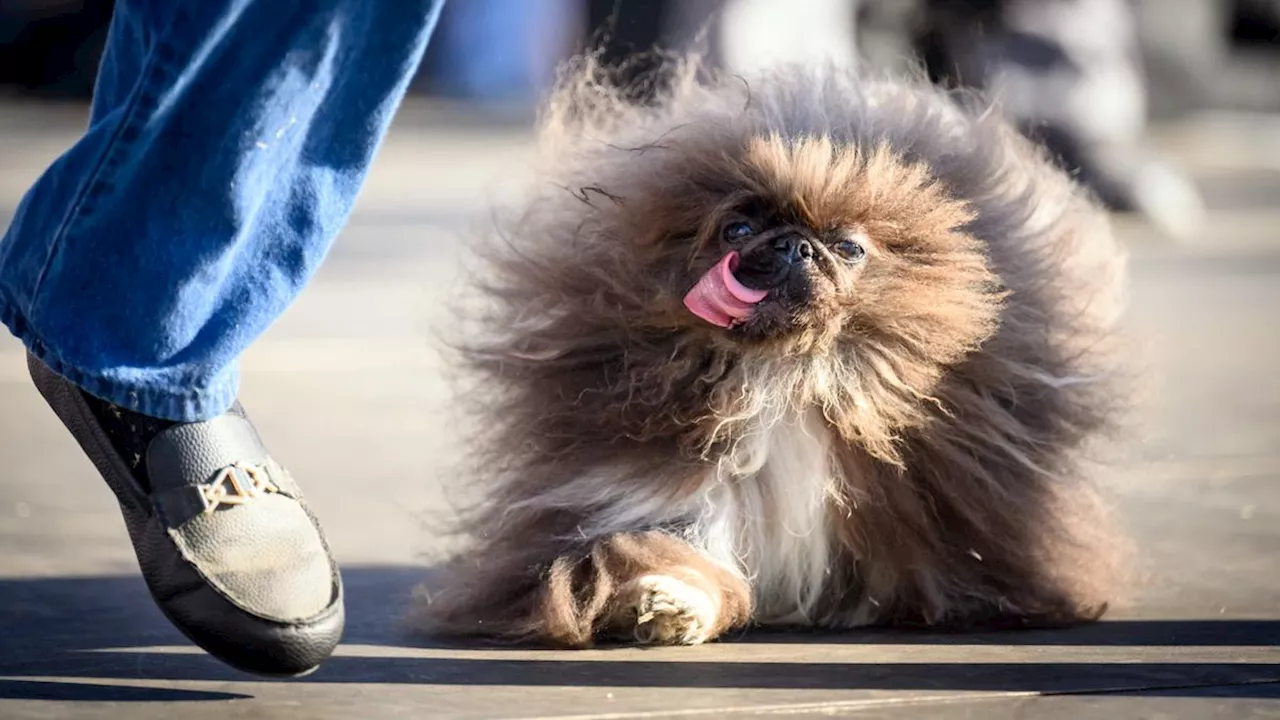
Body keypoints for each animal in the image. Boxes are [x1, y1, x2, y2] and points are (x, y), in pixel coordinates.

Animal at [419, 57, 1131, 645]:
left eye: (849, 247)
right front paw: (667, 605)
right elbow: (681, 556)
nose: (794, 245)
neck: (788, 377)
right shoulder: (664, 492)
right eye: (736, 228)